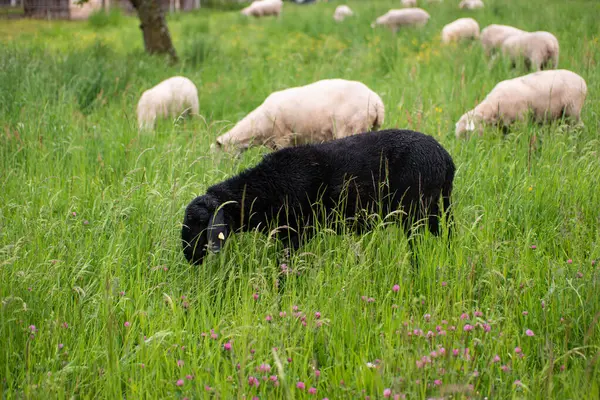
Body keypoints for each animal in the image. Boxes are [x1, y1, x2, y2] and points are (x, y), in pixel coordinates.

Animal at [183, 130, 454, 264]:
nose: (188, 257)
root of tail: (444, 156)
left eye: (201, 223)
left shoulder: (295, 235)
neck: (265, 187)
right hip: (437, 209)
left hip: (415, 213)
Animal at [454, 69, 584, 138]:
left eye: (466, 135)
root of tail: (582, 80)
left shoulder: (520, 121)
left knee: (579, 127)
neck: (493, 106)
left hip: (573, 110)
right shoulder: (504, 126)